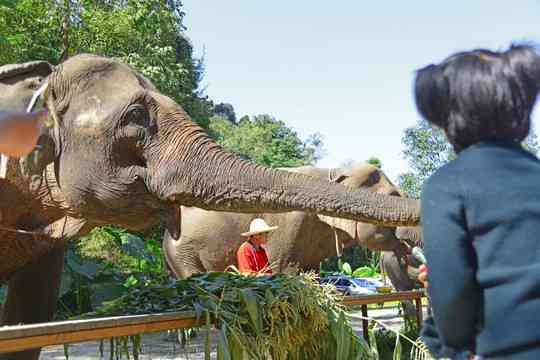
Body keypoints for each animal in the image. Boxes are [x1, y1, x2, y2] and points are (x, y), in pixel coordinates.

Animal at [162, 163, 412, 278]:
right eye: (393, 197)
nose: (407, 251)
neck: (333, 172)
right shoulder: (290, 224)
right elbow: (284, 269)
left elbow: (311, 272)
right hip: (183, 253)